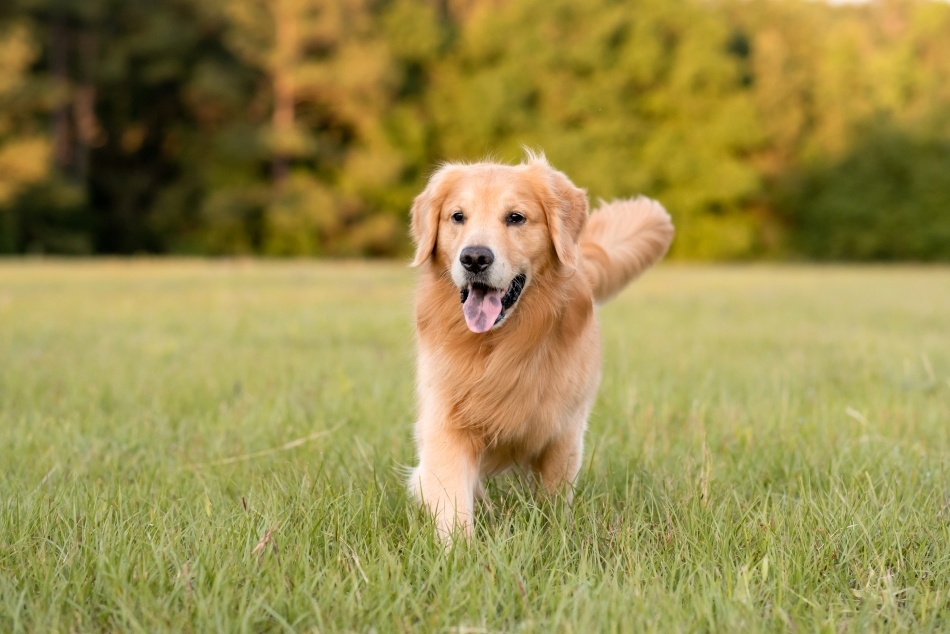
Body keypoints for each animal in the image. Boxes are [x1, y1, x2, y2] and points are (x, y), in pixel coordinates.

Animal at [406, 149, 672, 540]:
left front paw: (556, 537)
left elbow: (554, 500)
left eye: (516, 217)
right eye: (457, 216)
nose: (474, 258)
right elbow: (452, 503)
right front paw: (459, 551)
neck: (502, 345)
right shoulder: (445, 422)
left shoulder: (564, 431)